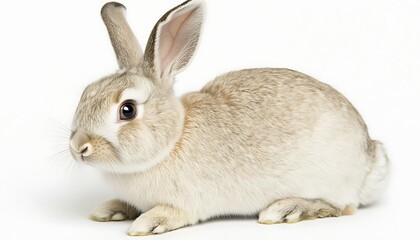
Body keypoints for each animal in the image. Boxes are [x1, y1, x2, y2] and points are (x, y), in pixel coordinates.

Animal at [69, 0, 390, 236]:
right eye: (86, 92)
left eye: (128, 110)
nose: (78, 147)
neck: (172, 141)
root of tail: (370, 160)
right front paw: (109, 209)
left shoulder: (187, 202)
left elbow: (171, 213)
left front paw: (147, 223)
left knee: (341, 206)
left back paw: (285, 209)